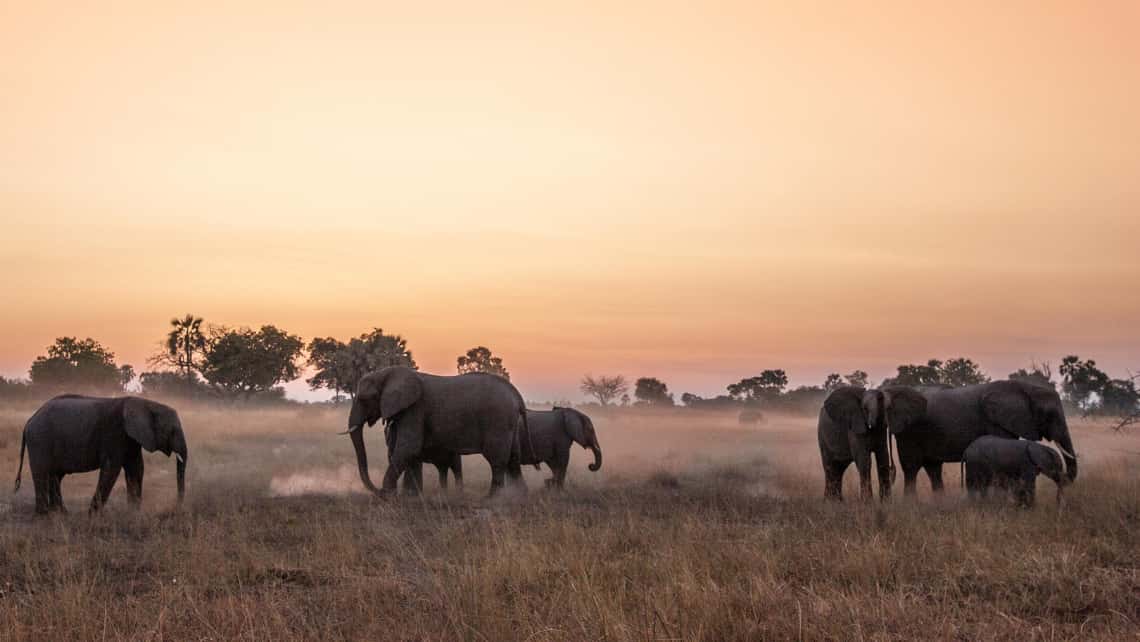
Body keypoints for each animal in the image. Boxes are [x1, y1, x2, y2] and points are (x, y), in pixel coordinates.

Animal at [14, 394, 188, 515]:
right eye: (172, 431)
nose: (176, 508)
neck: (146, 403)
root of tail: (29, 420)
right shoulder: (115, 433)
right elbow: (112, 469)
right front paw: (93, 516)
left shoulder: (131, 438)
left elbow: (136, 468)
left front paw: (133, 514)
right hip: (40, 440)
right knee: (42, 473)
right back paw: (44, 516)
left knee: (55, 475)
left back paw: (60, 514)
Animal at [344, 367, 526, 497]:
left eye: (365, 399)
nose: (377, 491)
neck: (387, 373)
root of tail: (516, 394)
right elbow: (407, 452)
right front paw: (409, 497)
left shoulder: (415, 409)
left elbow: (408, 448)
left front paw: (388, 496)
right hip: (510, 424)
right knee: (514, 458)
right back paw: (519, 496)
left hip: (498, 420)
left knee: (496, 459)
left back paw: (493, 499)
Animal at [889, 380, 1076, 497]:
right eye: (1050, 415)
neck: (1025, 388)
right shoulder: (995, 422)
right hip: (908, 433)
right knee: (911, 469)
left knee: (933, 468)